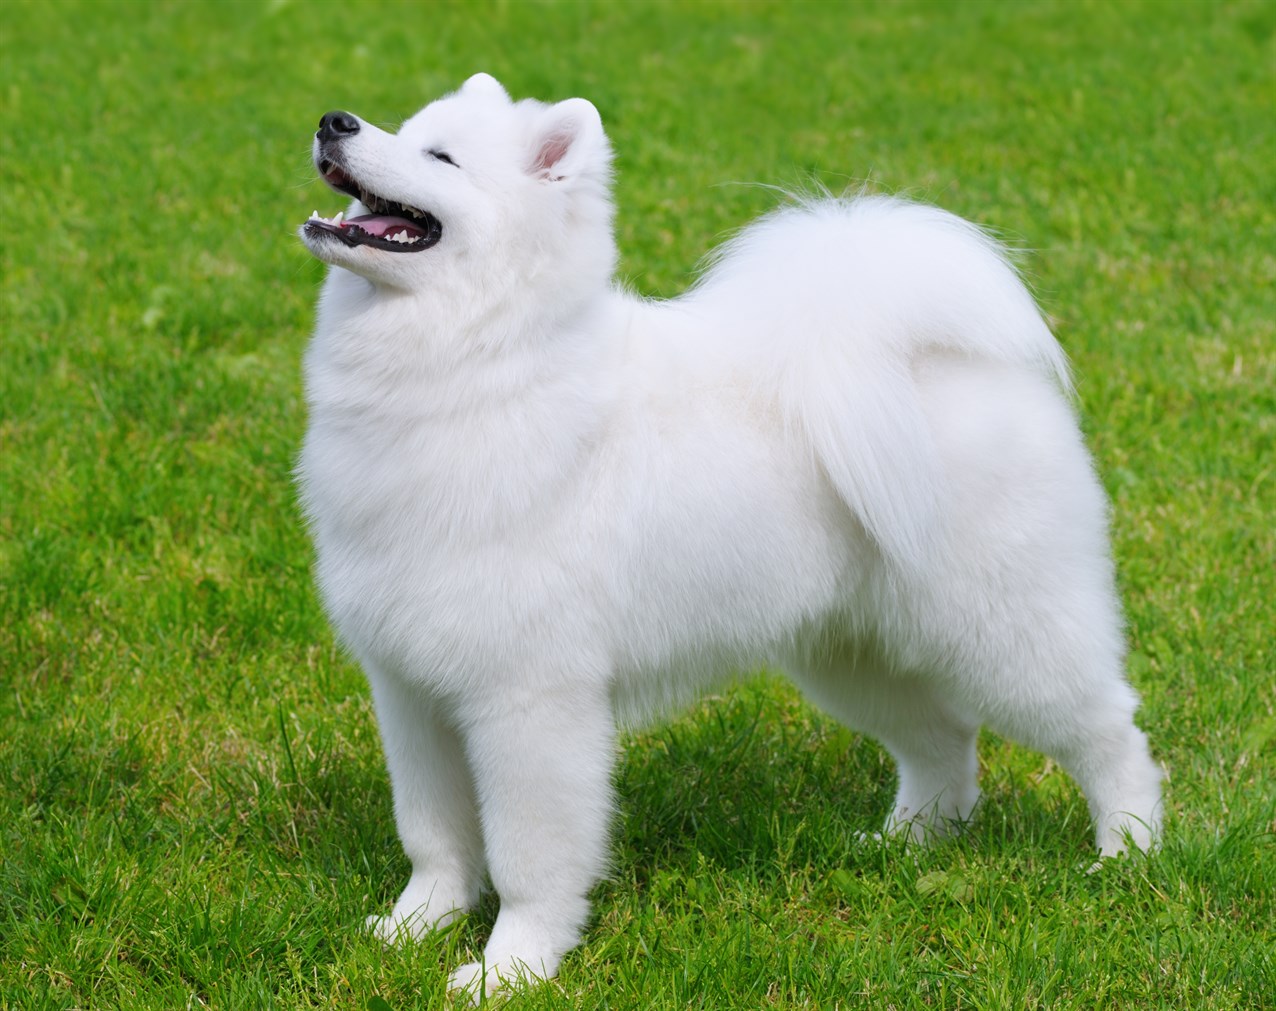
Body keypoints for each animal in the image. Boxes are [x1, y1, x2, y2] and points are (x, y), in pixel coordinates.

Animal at [293, 74, 1163, 1000]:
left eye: (441, 156)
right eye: (404, 128)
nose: (334, 122)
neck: (479, 365)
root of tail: (945, 358)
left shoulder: (528, 701)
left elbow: (529, 856)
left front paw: (512, 967)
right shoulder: (412, 691)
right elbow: (435, 835)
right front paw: (413, 928)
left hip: (1009, 630)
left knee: (1107, 728)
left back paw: (1129, 850)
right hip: (850, 653)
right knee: (942, 742)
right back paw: (905, 843)